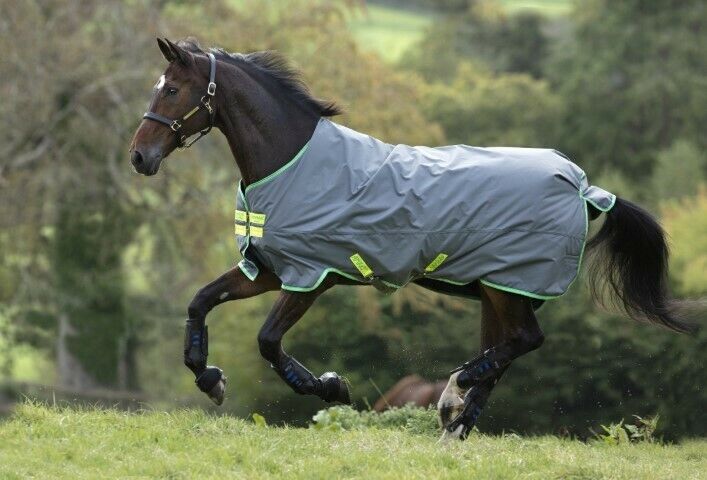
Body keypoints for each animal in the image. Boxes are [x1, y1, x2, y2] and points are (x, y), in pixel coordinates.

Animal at [129, 38, 695, 441]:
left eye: (172, 90)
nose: (139, 157)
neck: (291, 160)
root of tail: (583, 186)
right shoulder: (268, 268)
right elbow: (200, 301)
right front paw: (210, 379)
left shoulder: (312, 277)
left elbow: (268, 341)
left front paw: (331, 387)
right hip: (496, 291)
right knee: (507, 349)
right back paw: (455, 422)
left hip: (510, 285)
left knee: (523, 342)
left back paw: (452, 393)